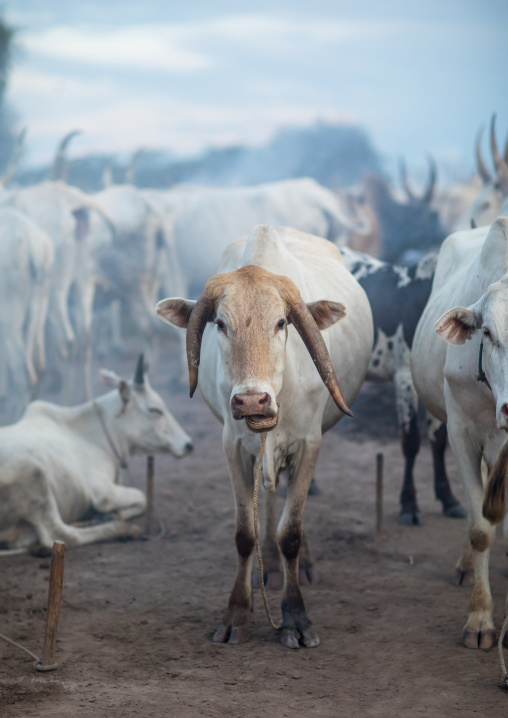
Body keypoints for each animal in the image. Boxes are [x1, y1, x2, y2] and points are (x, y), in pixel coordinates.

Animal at [0, 356, 193, 553]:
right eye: (155, 410)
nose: (188, 444)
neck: (94, 436)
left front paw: (108, 515)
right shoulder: (103, 492)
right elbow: (143, 498)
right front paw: (111, 516)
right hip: (35, 478)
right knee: (61, 534)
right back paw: (125, 530)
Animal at [156, 224, 373, 648]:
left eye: (281, 323)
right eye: (220, 323)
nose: (252, 400)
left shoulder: (309, 445)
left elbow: (291, 531)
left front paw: (295, 618)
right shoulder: (234, 446)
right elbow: (245, 534)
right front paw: (237, 614)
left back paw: (299, 565)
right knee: (270, 502)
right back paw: (270, 566)